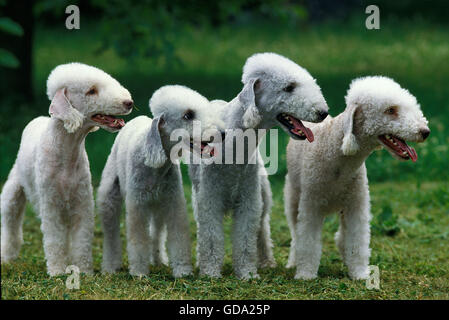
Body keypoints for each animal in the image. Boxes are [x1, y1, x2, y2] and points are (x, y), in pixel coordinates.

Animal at [0, 62, 132, 276]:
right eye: (91, 91)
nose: (129, 102)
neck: (67, 151)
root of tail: (36, 120)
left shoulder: (82, 203)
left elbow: (82, 240)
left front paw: (84, 271)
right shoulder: (51, 205)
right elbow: (55, 239)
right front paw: (57, 271)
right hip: (13, 189)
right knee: (11, 222)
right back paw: (7, 257)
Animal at [97, 85, 221, 278]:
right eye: (188, 115)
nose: (221, 133)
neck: (157, 163)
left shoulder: (173, 202)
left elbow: (178, 236)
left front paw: (183, 271)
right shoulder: (138, 206)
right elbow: (138, 239)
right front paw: (139, 273)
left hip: (159, 205)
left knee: (156, 231)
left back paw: (158, 260)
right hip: (110, 195)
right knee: (111, 233)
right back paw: (110, 267)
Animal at [187, 52, 328, 278]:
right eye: (289, 87)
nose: (323, 112)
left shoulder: (249, 199)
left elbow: (246, 237)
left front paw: (247, 273)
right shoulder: (209, 199)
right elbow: (210, 237)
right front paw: (210, 272)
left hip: (262, 192)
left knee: (261, 228)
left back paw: (266, 262)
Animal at [286, 76, 428, 278]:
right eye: (390, 110)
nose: (425, 132)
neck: (338, 155)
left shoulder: (356, 204)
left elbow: (357, 240)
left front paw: (360, 274)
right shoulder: (311, 205)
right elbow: (307, 241)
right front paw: (305, 274)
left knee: (341, 236)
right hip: (293, 195)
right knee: (295, 234)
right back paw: (292, 262)